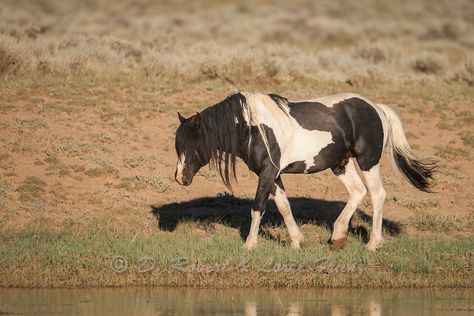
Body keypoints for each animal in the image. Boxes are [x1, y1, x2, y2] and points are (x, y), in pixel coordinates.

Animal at [172, 92, 436, 252]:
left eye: (193, 144)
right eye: (178, 145)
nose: (180, 178)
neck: (252, 128)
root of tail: (376, 108)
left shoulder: (267, 172)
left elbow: (258, 208)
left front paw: (249, 244)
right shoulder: (273, 175)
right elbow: (284, 206)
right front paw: (296, 241)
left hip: (367, 161)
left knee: (377, 194)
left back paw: (372, 244)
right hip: (341, 163)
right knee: (357, 191)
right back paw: (338, 236)